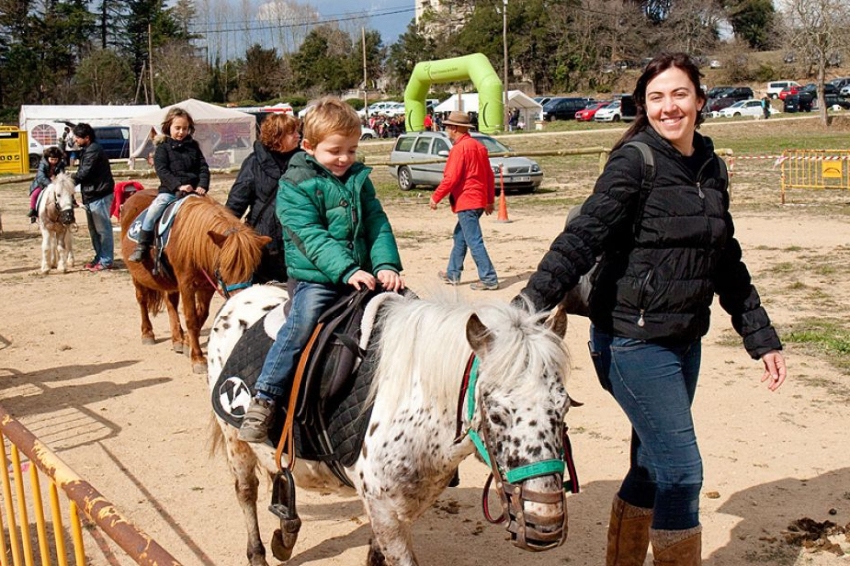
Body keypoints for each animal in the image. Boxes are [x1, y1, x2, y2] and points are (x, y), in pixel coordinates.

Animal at [119, 191, 270, 374]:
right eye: (224, 267)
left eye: (251, 268)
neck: (192, 243)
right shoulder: (186, 285)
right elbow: (191, 318)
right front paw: (197, 359)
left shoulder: (206, 287)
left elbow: (201, 316)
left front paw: (187, 344)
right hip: (137, 275)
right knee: (142, 300)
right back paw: (147, 333)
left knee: (171, 303)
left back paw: (177, 338)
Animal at [209, 286, 576, 566]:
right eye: (497, 414)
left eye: (563, 408)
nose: (545, 523)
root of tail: (242, 294)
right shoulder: (386, 512)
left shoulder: (397, 508)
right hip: (235, 440)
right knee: (246, 491)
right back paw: (259, 553)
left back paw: (285, 535)